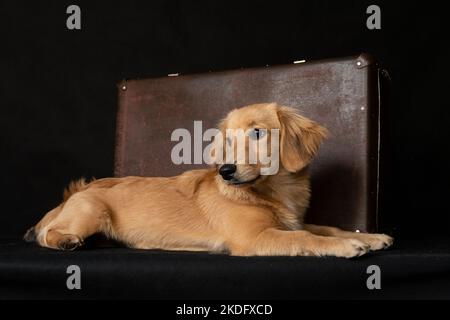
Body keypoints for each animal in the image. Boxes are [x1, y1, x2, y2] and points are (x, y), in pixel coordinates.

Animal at [24, 102, 392, 258]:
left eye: (257, 133)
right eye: (227, 140)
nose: (225, 171)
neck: (271, 192)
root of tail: (67, 199)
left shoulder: (293, 222)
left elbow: (326, 228)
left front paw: (370, 236)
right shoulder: (254, 238)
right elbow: (306, 238)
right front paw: (346, 247)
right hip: (91, 210)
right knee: (46, 234)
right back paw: (66, 241)